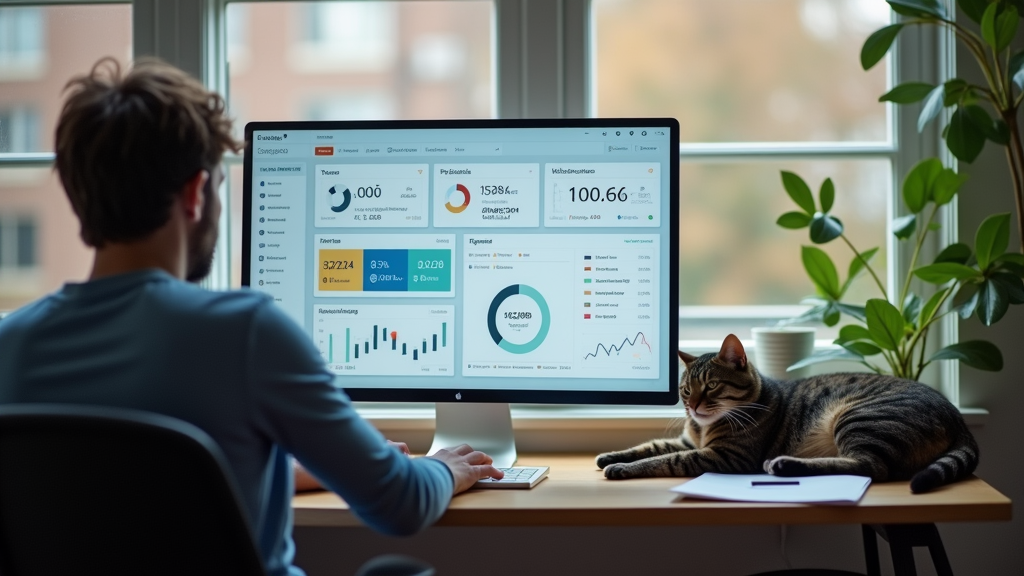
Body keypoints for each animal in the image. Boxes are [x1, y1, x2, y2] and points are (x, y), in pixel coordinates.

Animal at [598, 334, 978, 491]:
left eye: (712, 386)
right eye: (685, 390)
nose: (692, 406)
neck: (703, 429)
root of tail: (957, 416)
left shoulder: (724, 456)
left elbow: (661, 459)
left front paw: (621, 468)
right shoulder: (689, 442)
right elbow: (650, 446)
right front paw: (611, 456)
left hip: (859, 417)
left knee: (870, 466)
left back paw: (784, 465)